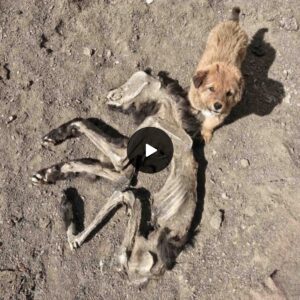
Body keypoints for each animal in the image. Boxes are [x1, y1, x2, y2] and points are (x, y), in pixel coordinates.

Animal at [190, 7, 248, 143]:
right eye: (211, 88)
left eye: (229, 93)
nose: (218, 105)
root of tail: (233, 22)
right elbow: (194, 105)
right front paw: (193, 110)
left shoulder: (220, 116)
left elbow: (208, 124)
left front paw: (206, 134)